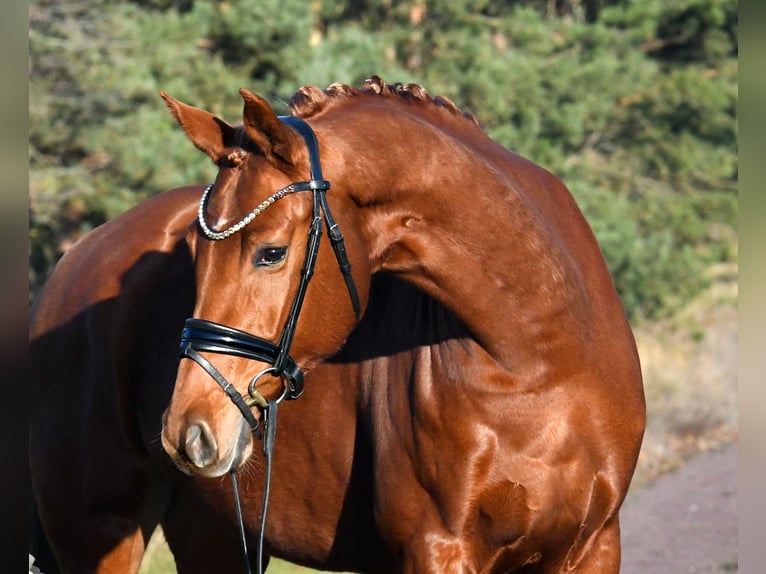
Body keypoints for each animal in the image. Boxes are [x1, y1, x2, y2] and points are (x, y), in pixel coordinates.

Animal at [29, 77, 645, 573]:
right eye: (195, 257)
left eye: (271, 253)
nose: (189, 431)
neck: (538, 358)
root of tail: (69, 263)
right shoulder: (439, 548)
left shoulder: (594, 546)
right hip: (101, 532)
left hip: (212, 532)